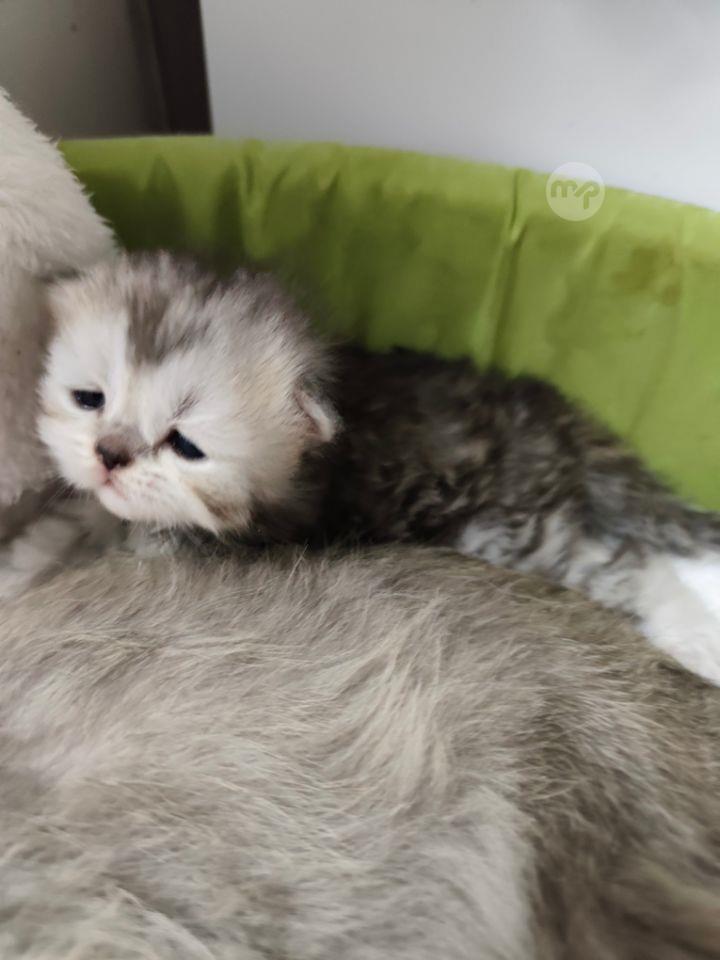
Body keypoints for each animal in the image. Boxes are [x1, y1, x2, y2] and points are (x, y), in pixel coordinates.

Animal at [7, 250, 720, 681]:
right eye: (89, 399)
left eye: (184, 444)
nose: (110, 455)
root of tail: (553, 420)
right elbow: (73, 526)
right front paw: (20, 568)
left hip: (503, 527)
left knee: (632, 567)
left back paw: (694, 640)